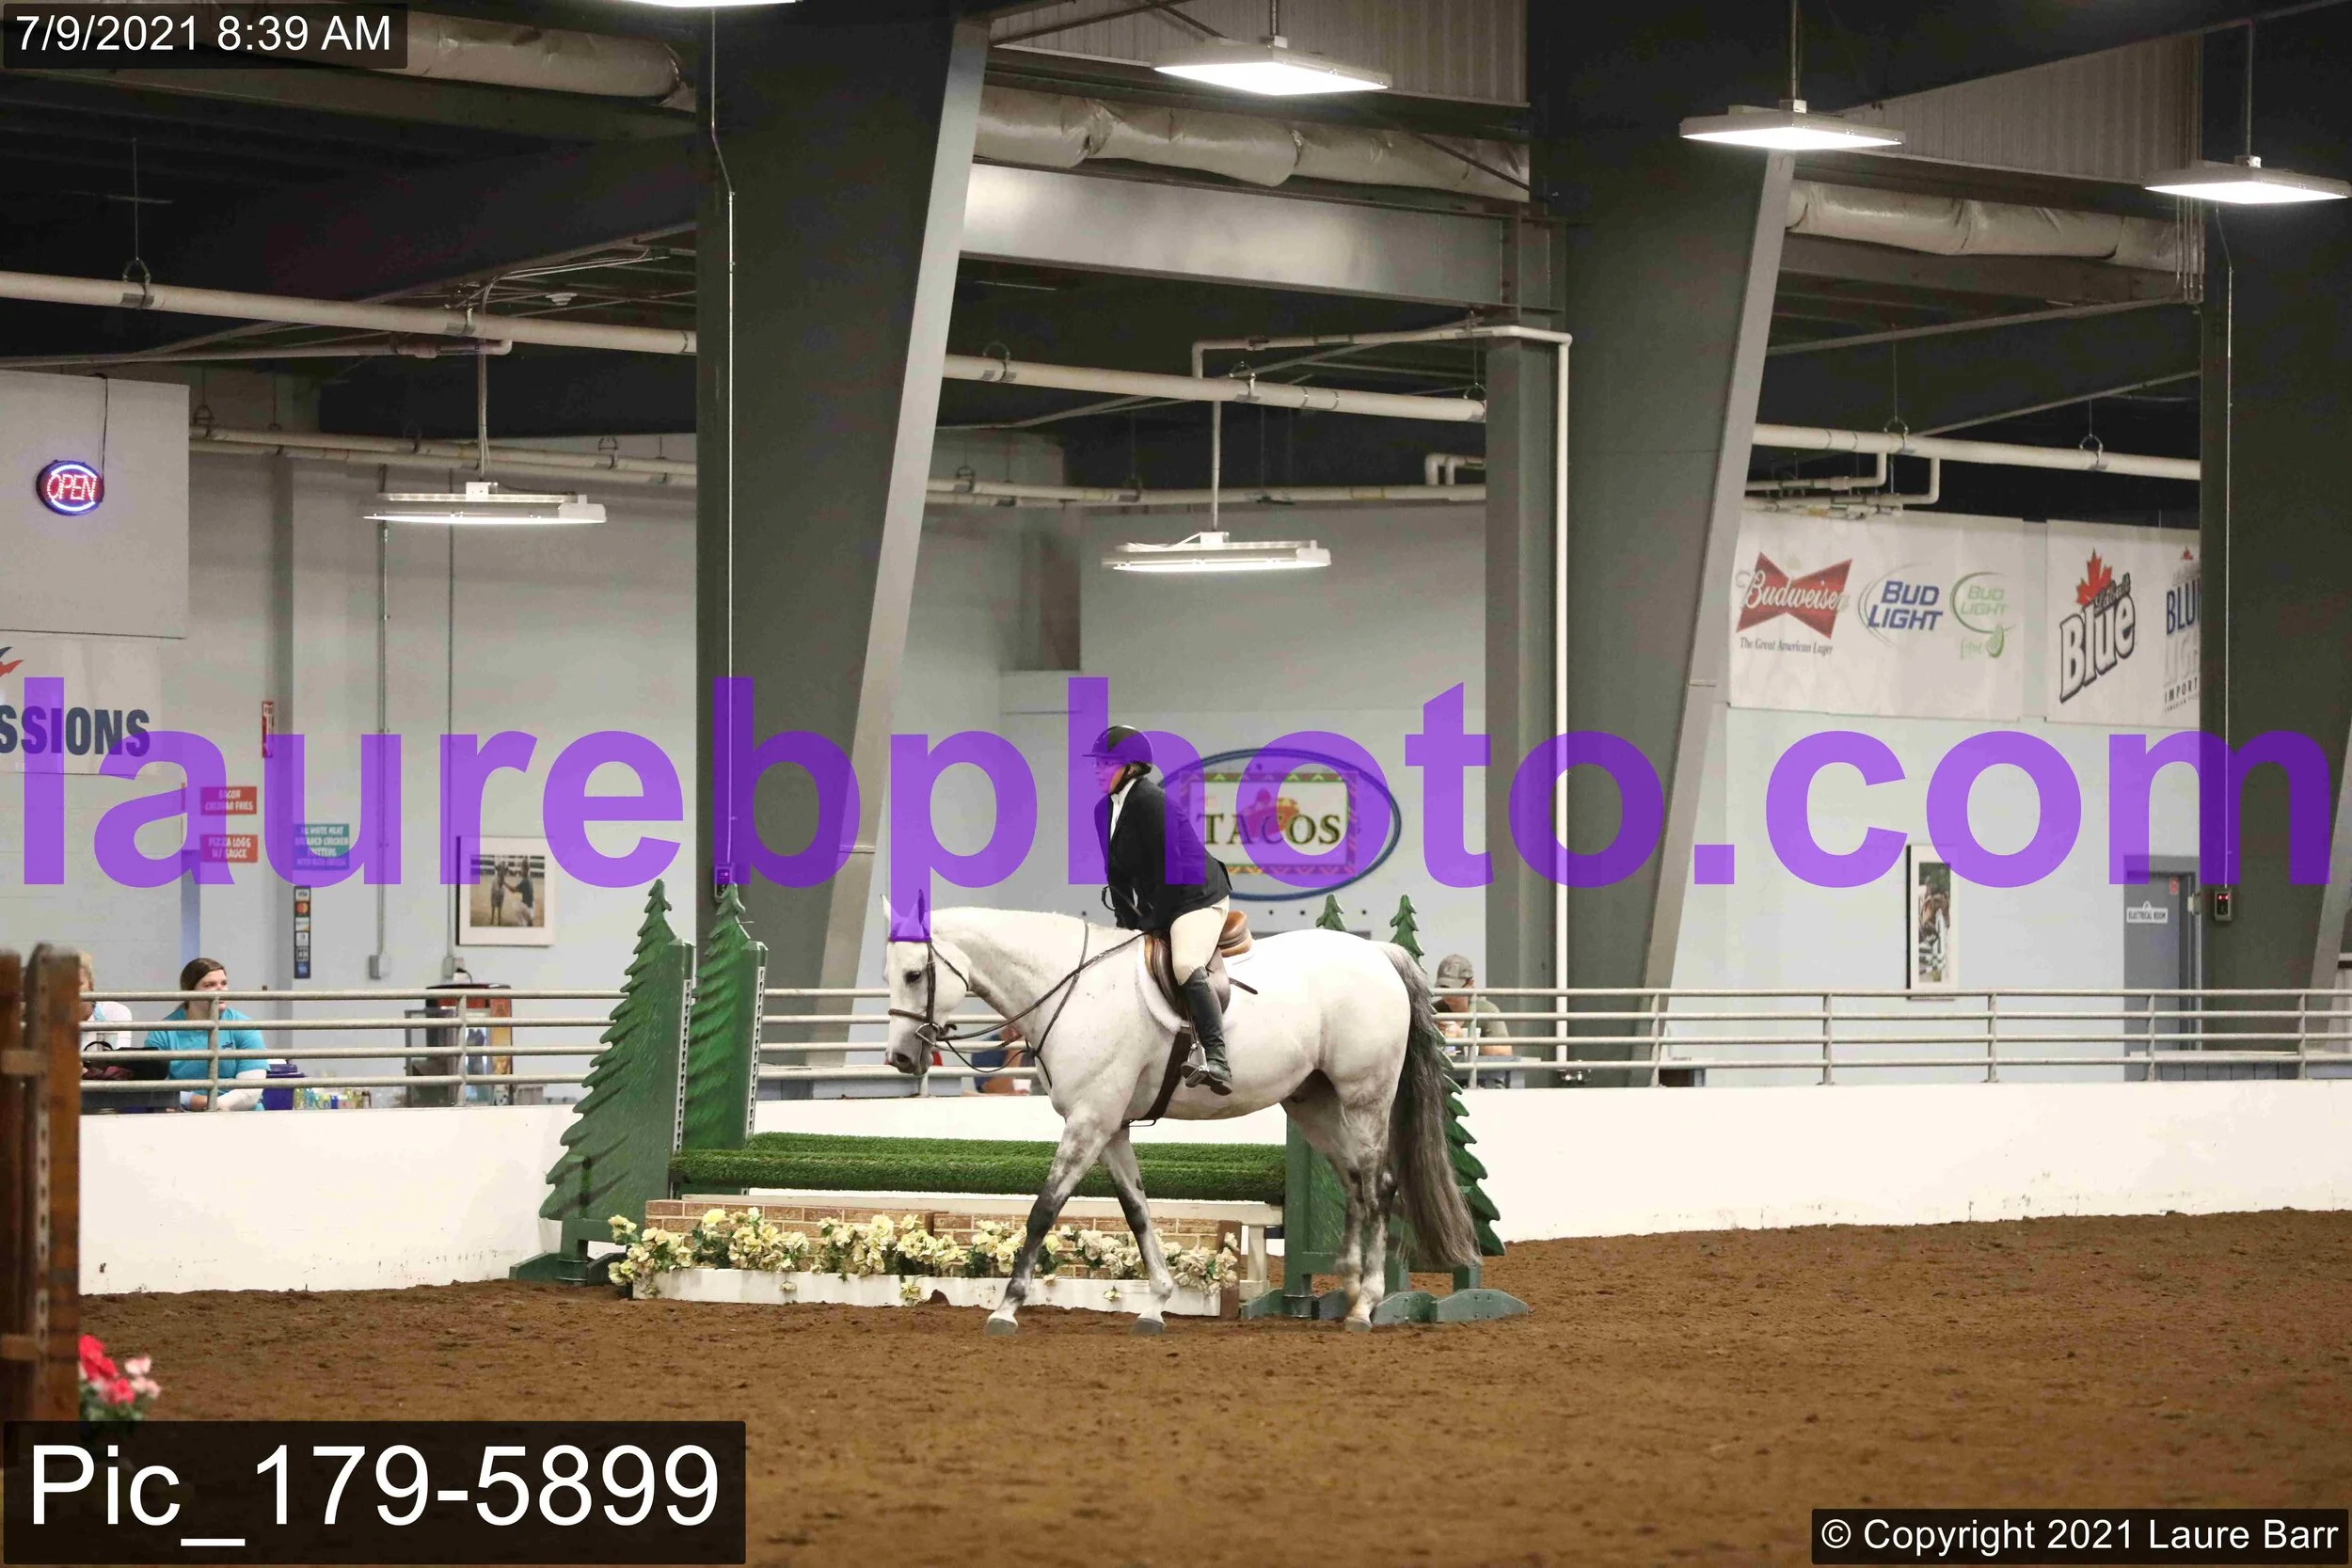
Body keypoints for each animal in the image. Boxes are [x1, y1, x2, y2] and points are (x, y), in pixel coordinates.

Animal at [880, 903, 1478, 1334]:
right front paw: (1156, 1305)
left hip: (1364, 1098)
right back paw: (1350, 1290)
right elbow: (1137, 1211)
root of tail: (1377, 953)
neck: (1072, 988)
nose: (901, 1058)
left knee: (1379, 1186)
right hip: (1315, 1104)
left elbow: (1044, 1210)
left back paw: (1365, 1307)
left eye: (913, 974)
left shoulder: (1088, 1121)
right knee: (1355, 1184)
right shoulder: (1110, 1126)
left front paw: (1006, 1308)